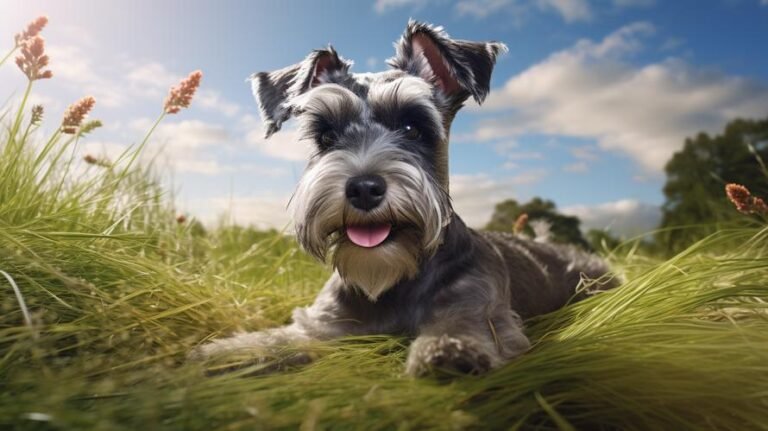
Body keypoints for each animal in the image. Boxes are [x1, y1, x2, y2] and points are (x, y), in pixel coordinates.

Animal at [194, 21, 616, 378]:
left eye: (413, 127)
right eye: (326, 135)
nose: (364, 188)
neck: (392, 281)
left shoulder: (481, 307)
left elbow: (464, 323)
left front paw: (448, 348)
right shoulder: (323, 326)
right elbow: (280, 338)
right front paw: (228, 352)